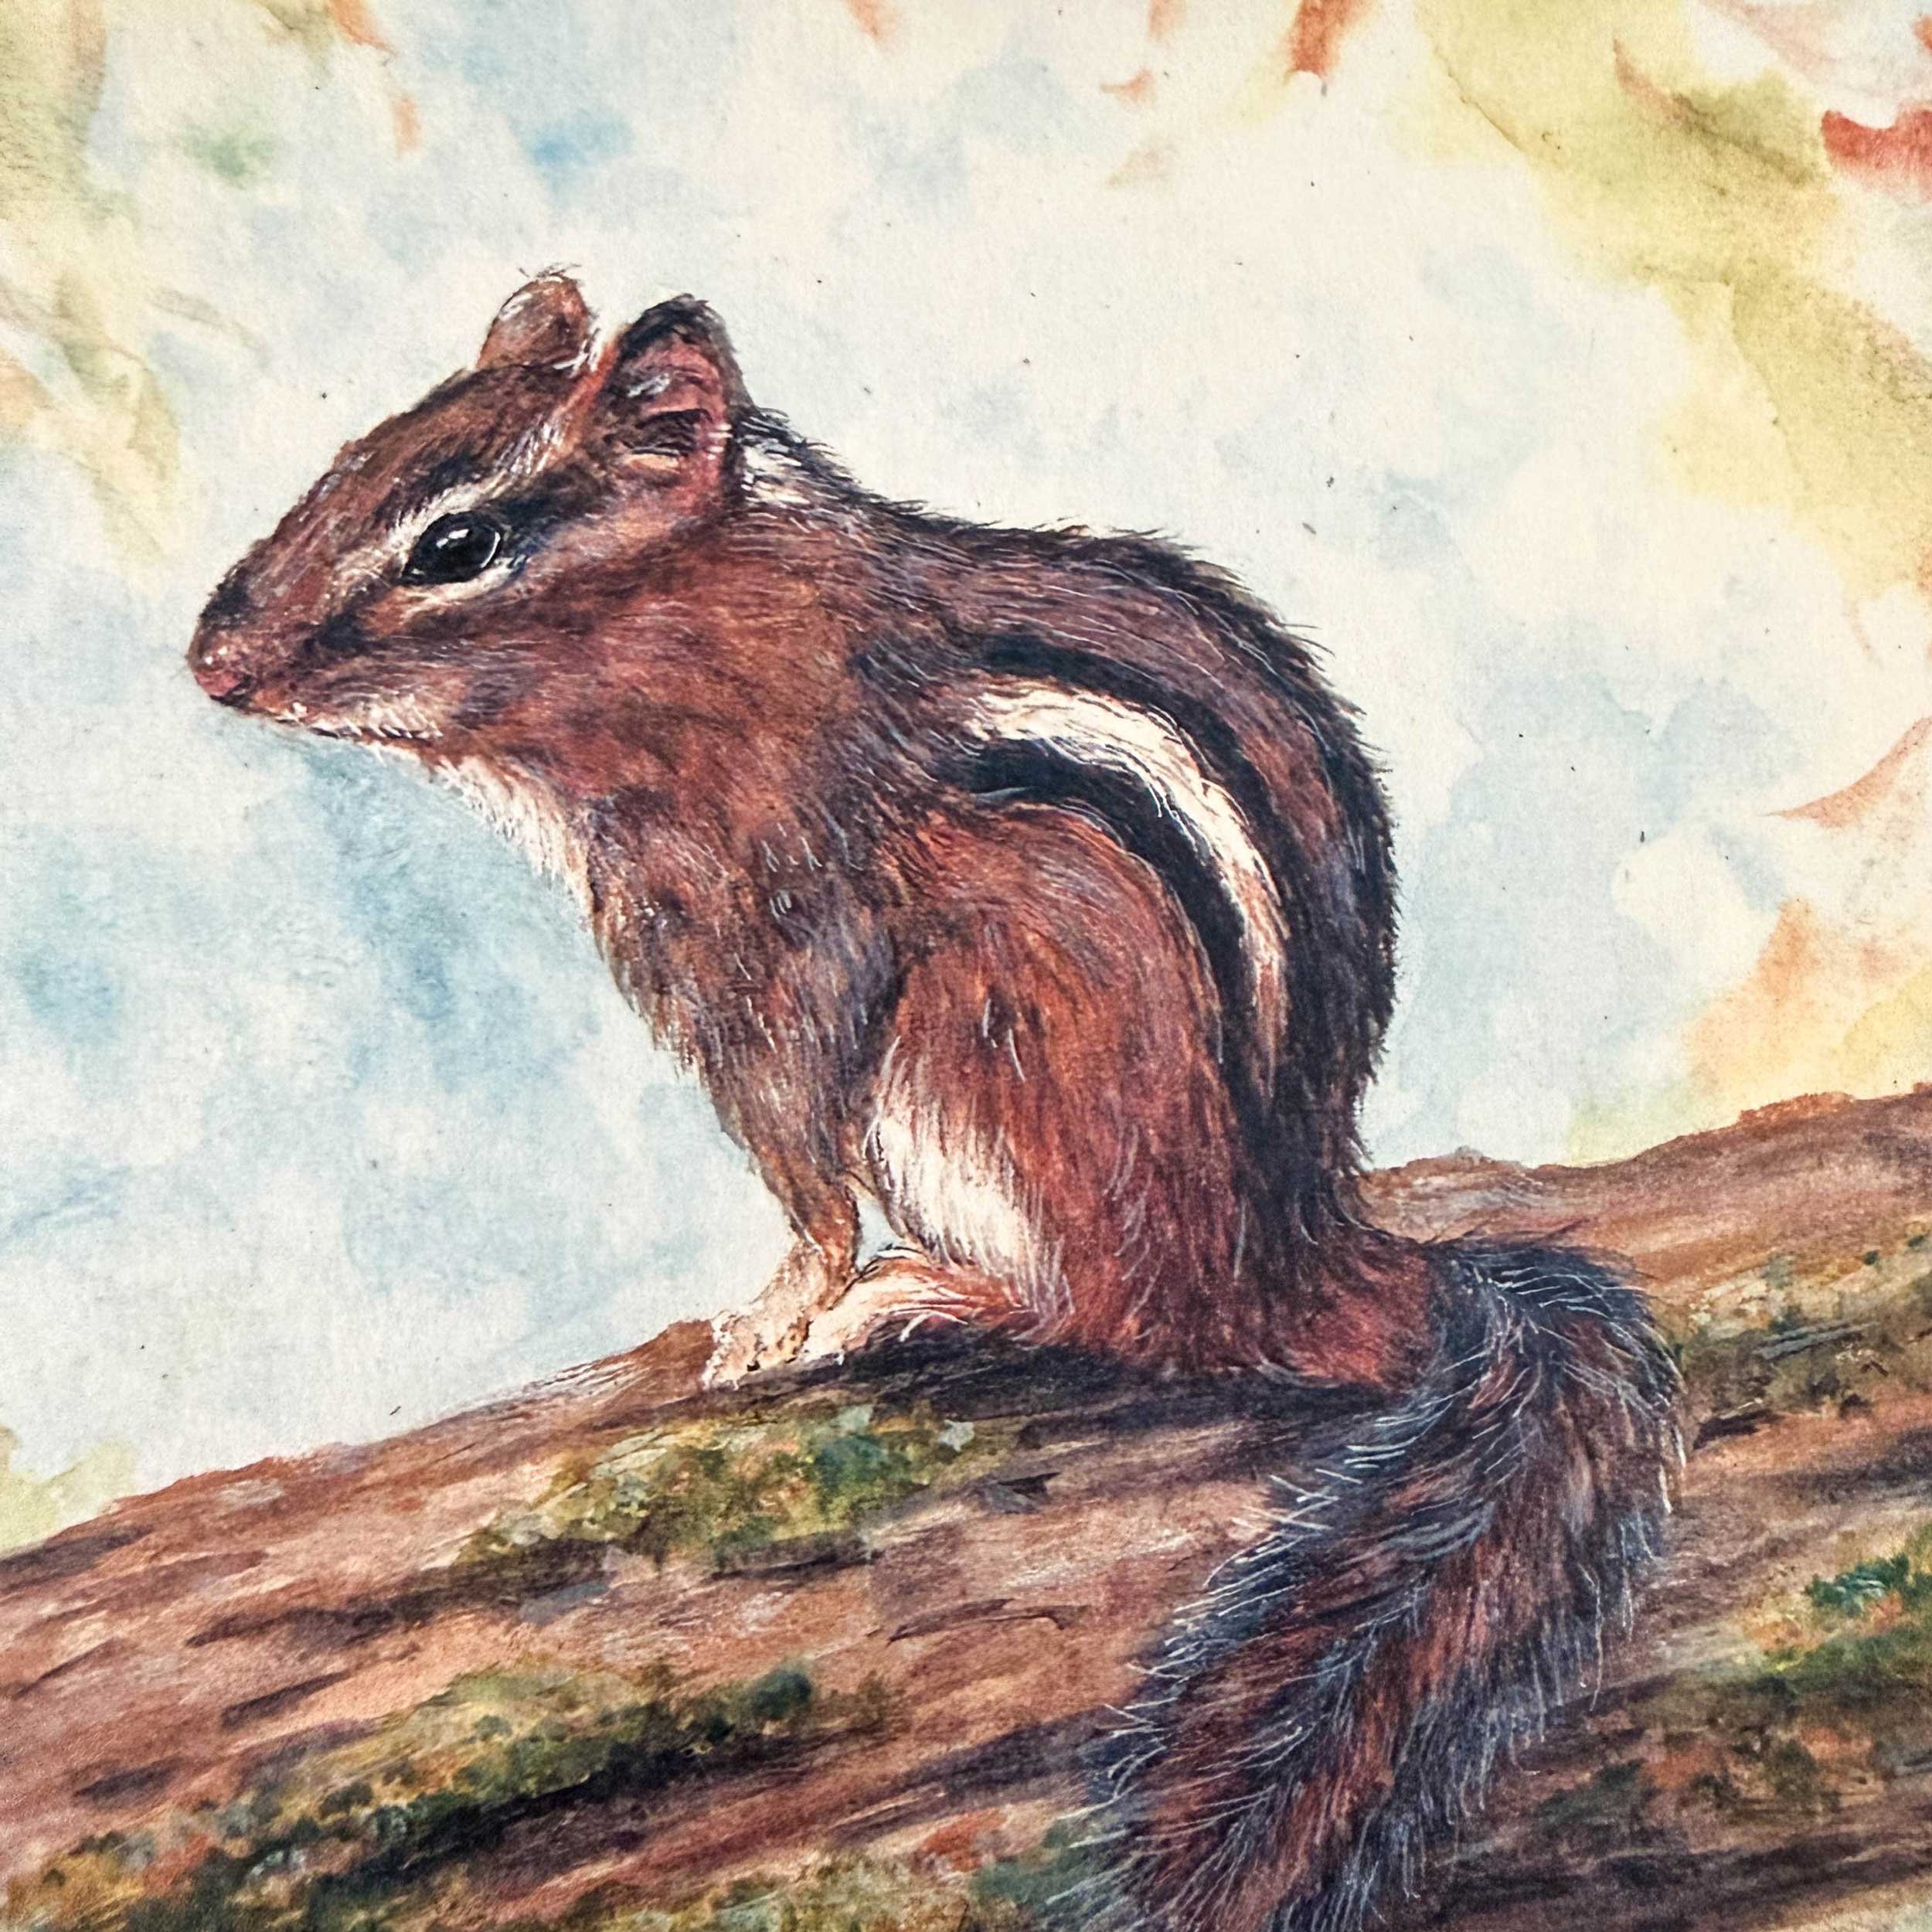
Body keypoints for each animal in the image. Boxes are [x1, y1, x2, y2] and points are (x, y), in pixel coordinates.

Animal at [189, 273, 1682, 1932]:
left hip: (991, 1073)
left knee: (1122, 1318)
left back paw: (930, 1301)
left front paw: (779, 1314)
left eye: (456, 544)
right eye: (346, 462)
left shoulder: (769, 943)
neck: (726, 630)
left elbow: (798, 1161)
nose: (212, 662)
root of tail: (1298, 1251)